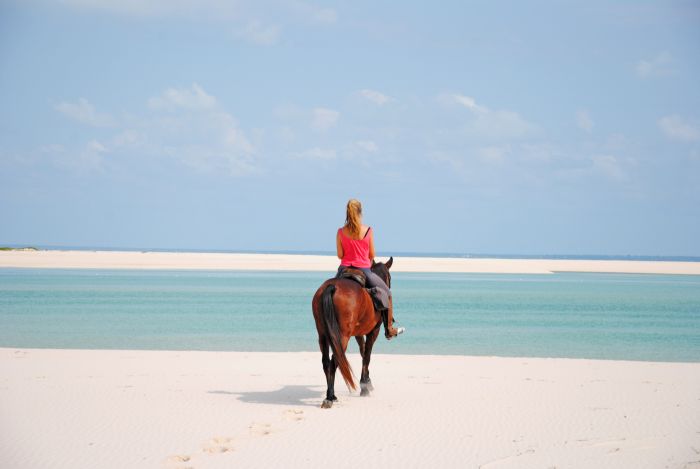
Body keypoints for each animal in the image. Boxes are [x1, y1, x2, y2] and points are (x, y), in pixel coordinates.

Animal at [312, 256, 394, 406]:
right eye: (389, 277)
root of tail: (332, 287)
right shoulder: (374, 331)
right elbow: (367, 355)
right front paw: (365, 388)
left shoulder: (358, 334)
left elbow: (363, 352)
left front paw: (367, 382)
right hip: (342, 337)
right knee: (335, 360)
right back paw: (330, 397)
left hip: (323, 335)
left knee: (326, 362)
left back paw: (330, 394)